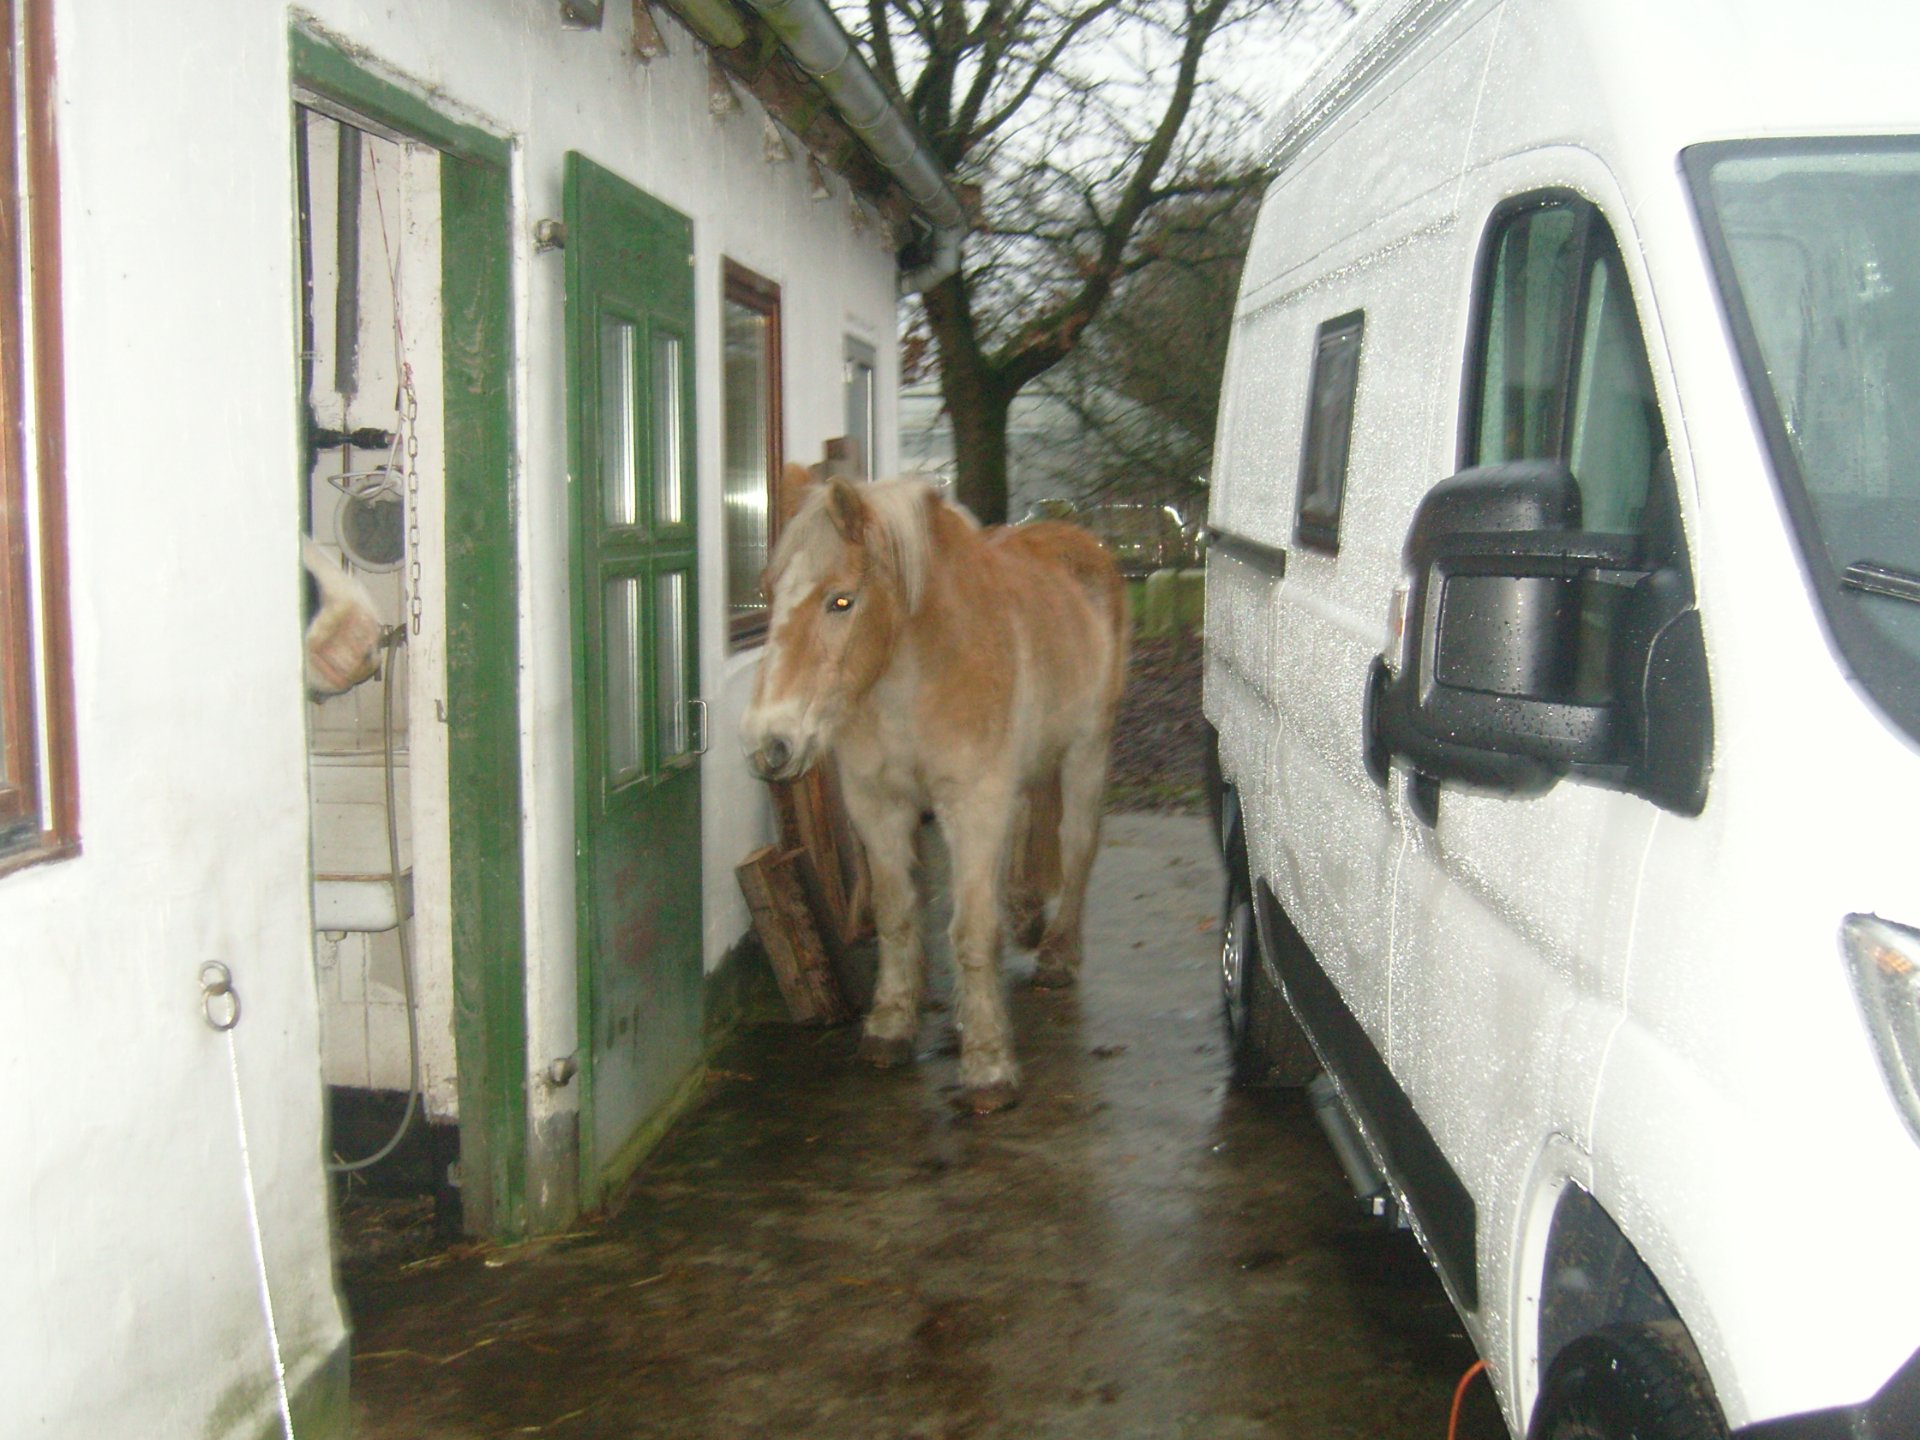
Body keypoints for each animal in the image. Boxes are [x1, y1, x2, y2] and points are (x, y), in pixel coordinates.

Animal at [733, 480, 1121, 1113]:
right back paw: (1025, 912)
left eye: (841, 601)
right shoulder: (877, 806)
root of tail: (1080, 542)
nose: (769, 743)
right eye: (769, 592)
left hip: (1087, 750)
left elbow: (971, 931)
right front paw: (889, 1027)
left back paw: (1058, 954)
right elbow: (895, 915)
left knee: (1078, 843)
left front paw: (988, 1065)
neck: (918, 676)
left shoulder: (973, 803)